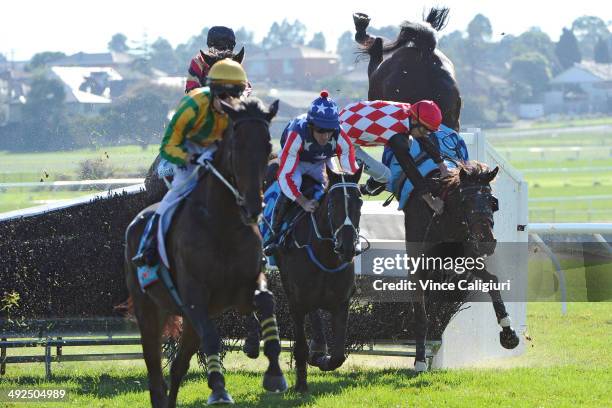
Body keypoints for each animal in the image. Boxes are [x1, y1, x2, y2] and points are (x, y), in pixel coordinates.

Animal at [125, 97, 288, 406]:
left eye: (268, 145)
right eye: (237, 146)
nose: (253, 207)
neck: (222, 223)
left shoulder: (243, 288)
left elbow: (266, 301)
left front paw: (274, 372)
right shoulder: (194, 295)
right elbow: (212, 337)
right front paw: (219, 390)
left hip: (187, 323)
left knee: (177, 369)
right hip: (150, 311)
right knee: (156, 378)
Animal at [274, 167, 364, 394]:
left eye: (360, 202)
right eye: (332, 204)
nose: (347, 247)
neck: (326, 257)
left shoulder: (342, 303)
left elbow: (338, 355)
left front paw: (321, 358)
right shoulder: (296, 303)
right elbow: (300, 347)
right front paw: (301, 384)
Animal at [404, 163, 520, 370]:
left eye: (492, 202)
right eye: (465, 201)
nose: (486, 242)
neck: (445, 221)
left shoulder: (470, 256)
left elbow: (492, 281)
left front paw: (508, 333)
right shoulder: (417, 267)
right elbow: (420, 313)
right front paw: (420, 360)